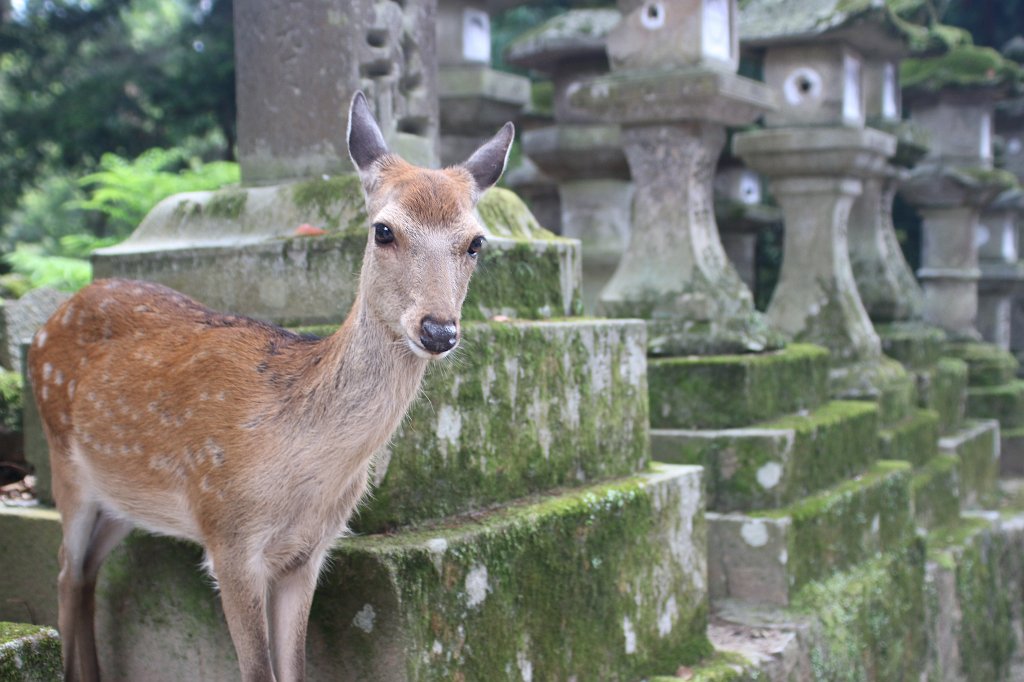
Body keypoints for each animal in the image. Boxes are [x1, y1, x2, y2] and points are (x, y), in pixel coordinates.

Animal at [28, 91, 516, 679]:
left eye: (476, 242)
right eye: (383, 230)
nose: (438, 329)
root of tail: (53, 317)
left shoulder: (309, 552)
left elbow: (295, 667)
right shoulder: (227, 536)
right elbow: (257, 670)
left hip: (125, 496)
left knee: (86, 573)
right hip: (65, 465)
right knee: (63, 569)